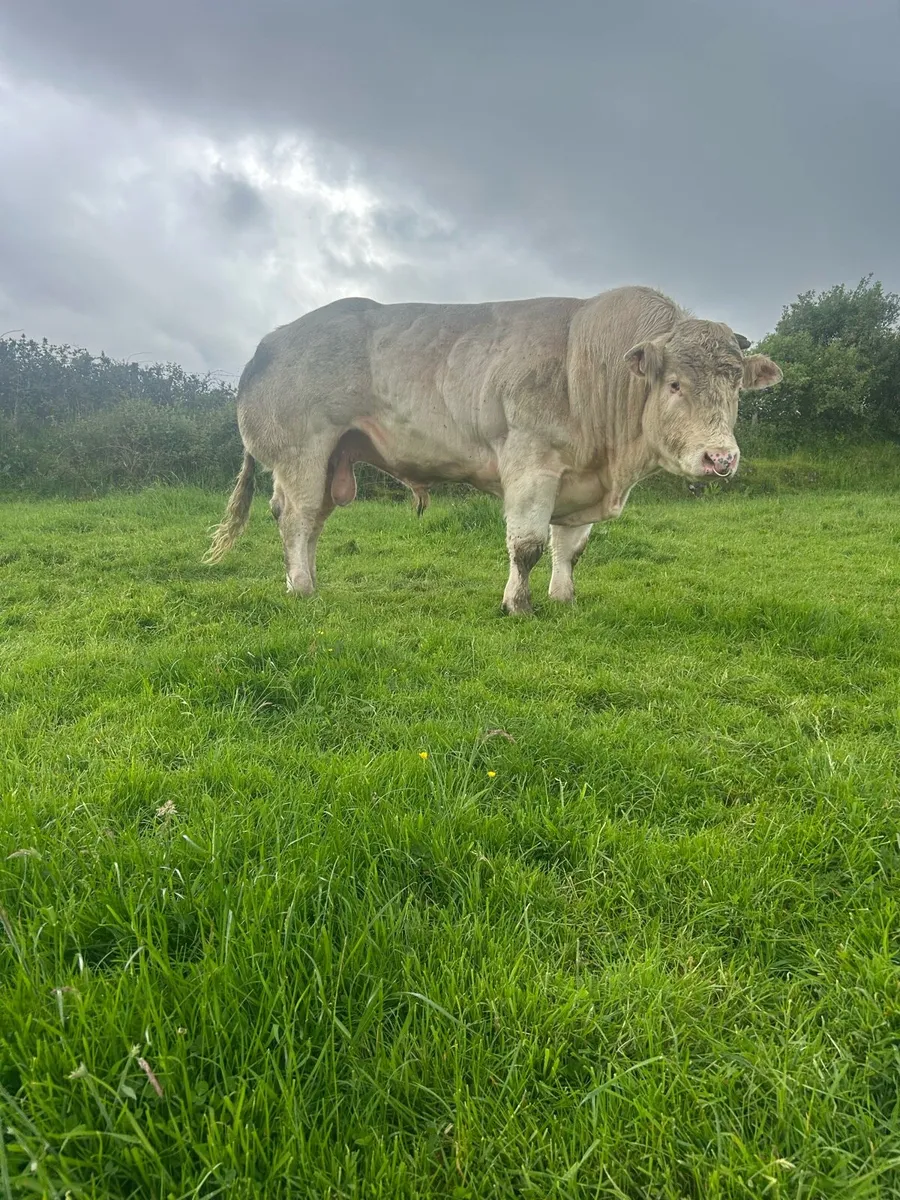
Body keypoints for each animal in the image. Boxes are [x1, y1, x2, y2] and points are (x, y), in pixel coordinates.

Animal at [204, 285, 781, 613]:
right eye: (675, 385)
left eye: (735, 387)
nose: (720, 459)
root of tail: (274, 339)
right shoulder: (529, 460)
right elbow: (526, 545)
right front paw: (516, 604)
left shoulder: (579, 479)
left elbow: (569, 548)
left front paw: (563, 599)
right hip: (302, 452)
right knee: (295, 518)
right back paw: (302, 588)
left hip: (330, 461)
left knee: (312, 522)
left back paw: (307, 580)